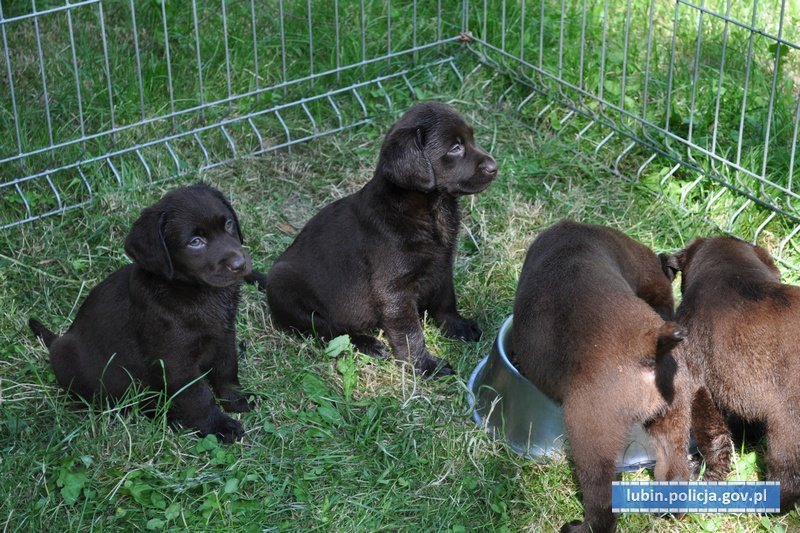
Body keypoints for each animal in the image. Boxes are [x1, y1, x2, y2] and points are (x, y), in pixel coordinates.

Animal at [29, 185, 253, 442]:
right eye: (195, 242)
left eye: (228, 224)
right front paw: (218, 426)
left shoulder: (225, 334)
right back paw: (167, 415)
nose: (239, 264)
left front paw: (236, 400)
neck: (193, 291)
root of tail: (58, 340)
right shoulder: (175, 361)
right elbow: (198, 396)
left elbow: (227, 369)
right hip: (76, 362)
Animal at [262, 102, 496, 376]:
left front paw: (457, 326)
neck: (429, 209)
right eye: (455, 148)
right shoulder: (394, 289)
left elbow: (445, 299)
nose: (494, 167)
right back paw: (367, 343)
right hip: (285, 291)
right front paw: (424, 366)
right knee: (325, 328)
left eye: (471, 139)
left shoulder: (443, 264)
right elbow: (410, 332)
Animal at [512, 220, 692, 532]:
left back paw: (578, 527)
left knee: (602, 501)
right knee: (676, 470)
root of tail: (650, 344)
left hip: (590, 429)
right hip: (673, 415)